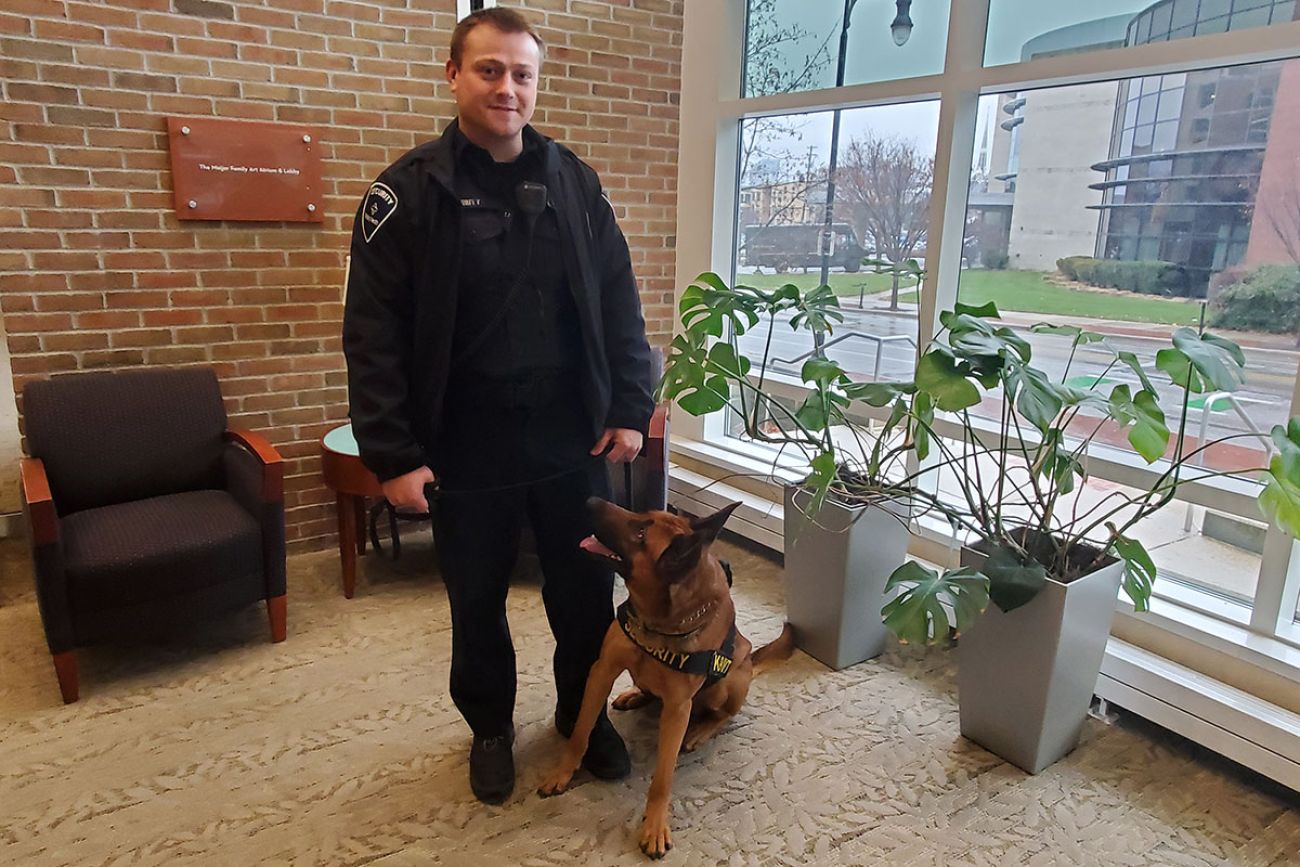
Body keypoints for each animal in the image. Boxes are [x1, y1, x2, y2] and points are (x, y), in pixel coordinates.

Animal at [535, 499, 790, 857]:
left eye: (641, 533)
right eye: (641, 516)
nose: (590, 501)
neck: (658, 620)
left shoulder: (678, 709)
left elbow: (663, 778)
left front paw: (654, 824)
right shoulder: (602, 671)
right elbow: (581, 731)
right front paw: (562, 771)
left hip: (726, 683)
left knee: (724, 715)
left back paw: (701, 731)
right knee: (648, 689)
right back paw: (635, 695)